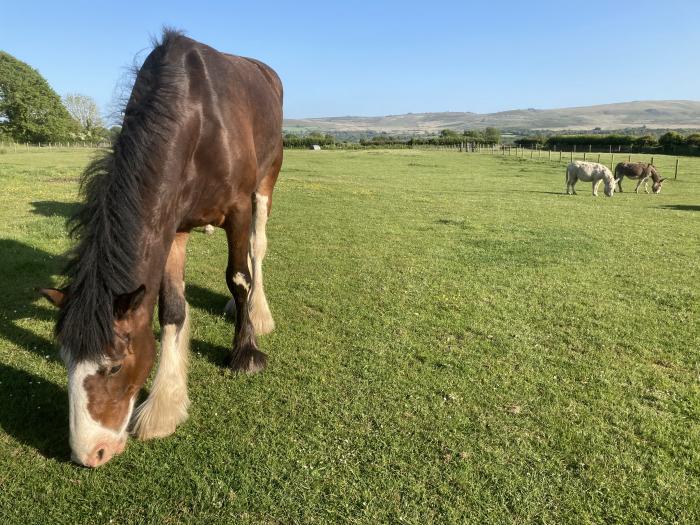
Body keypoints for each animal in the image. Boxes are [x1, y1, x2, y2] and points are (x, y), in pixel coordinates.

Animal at [37, 31, 284, 466]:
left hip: (267, 180)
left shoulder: (238, 208)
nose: (91, 453)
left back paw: (257, 311)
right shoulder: (172, 223)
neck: (195, 117)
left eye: (114, 367)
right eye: (66, 360)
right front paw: (166, 403)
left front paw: (246, 352)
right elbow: (171, 307)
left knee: (257, 248)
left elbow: (238, 276)